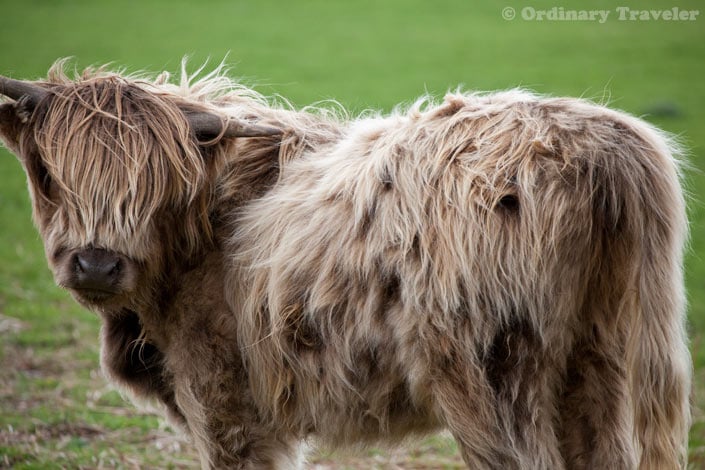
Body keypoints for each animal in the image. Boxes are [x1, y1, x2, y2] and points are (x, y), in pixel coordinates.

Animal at [0, 63, 692, 470]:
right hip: (595, 364)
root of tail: (601, 139)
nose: (96, 263)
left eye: (154, 183)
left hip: (495, 381)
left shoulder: (226, 404)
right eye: (48, 174)